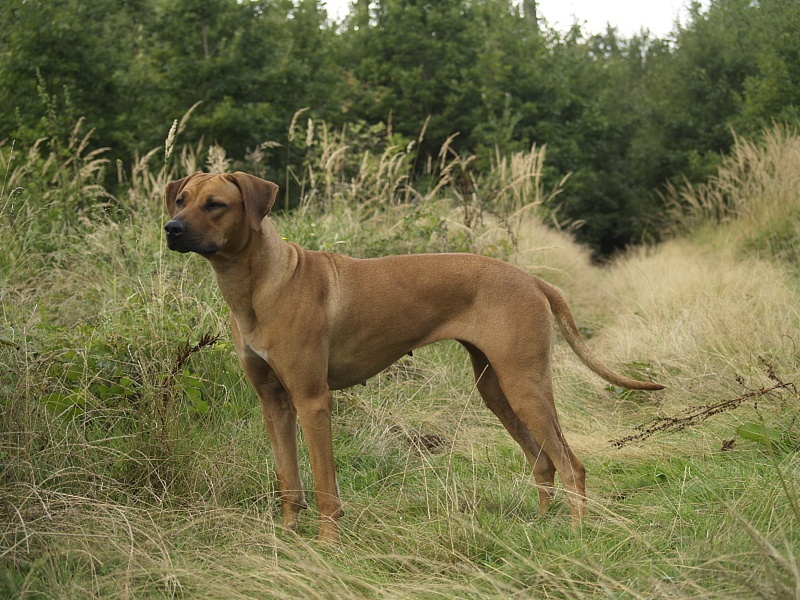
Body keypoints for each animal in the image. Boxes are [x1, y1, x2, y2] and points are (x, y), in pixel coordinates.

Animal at [162, 171, 664, 540]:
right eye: (180, 199)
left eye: (215, 204)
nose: (171, 228)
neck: (260, 284)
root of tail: (531, 279)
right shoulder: (273, 403)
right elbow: (289, 479)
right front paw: (287, 539)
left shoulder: (312, 400)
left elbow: (324, 486)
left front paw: (326, 545)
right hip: (496, 388)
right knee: (542, 461)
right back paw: (540, 528)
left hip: (525, 383)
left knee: (570, 464)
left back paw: (576, 537)